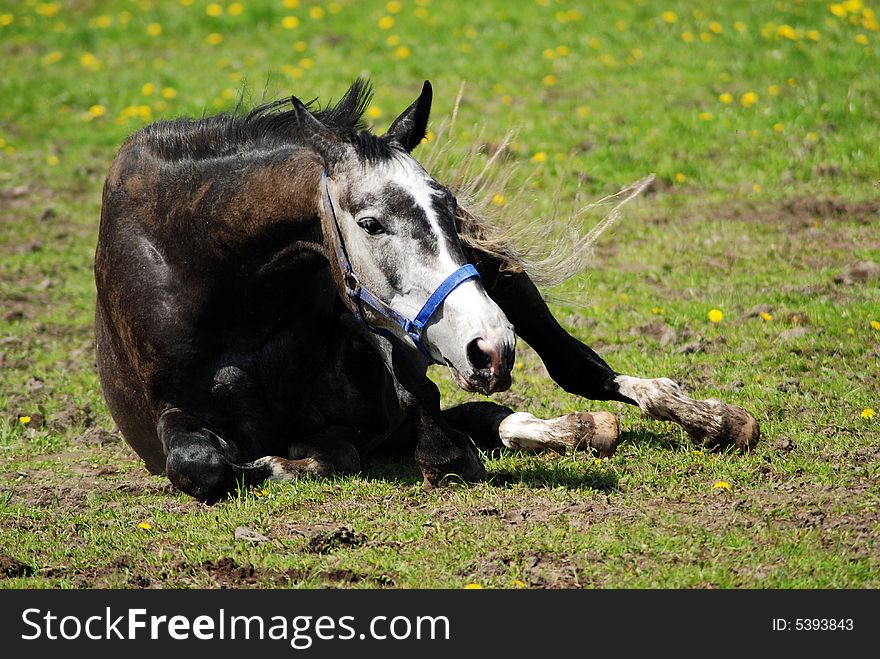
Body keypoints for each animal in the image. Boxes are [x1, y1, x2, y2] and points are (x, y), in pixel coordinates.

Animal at [93, 80, 760, 502]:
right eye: (370, 223)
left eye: (447, 205)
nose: (490, 347)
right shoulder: (171, 415)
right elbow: (205, 467)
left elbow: (427, 424)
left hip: (505, 286)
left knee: (576, 368)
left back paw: (710, 419)